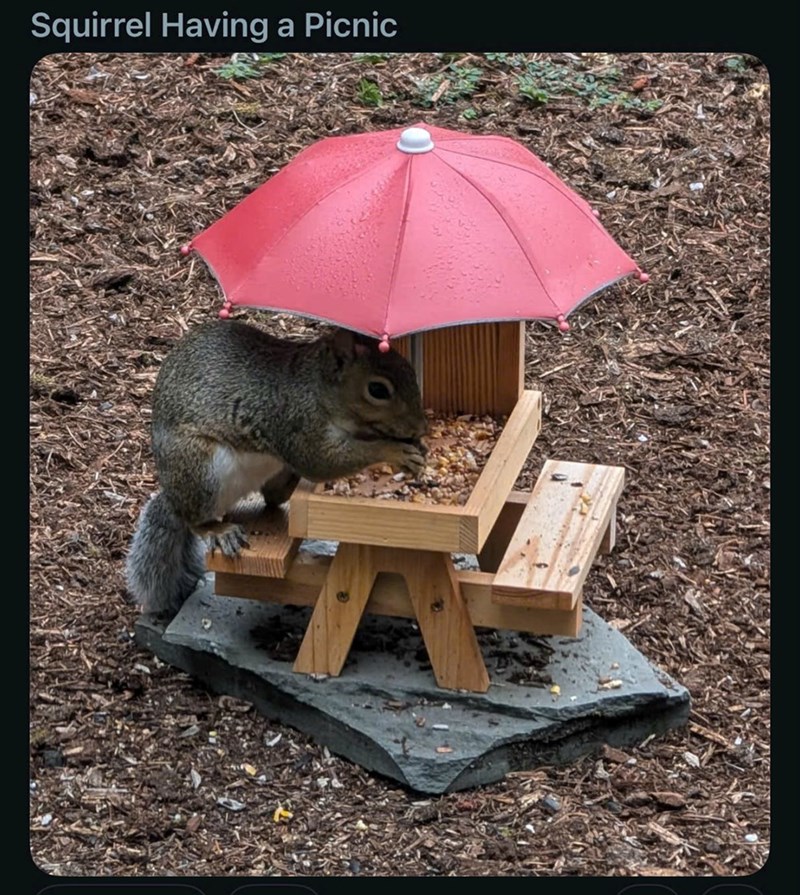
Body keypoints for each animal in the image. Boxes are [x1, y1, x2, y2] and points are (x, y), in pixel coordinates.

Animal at [125, 319, 428, 618]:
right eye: (377, 390)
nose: (421, 428)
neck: (317, 387)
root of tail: (173, 495)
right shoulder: (296, 424)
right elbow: (320, 460)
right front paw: (394, 451)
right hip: (199, 471)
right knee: (195, 519)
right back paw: (218, 530)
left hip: (272, 469)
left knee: (273, 496)